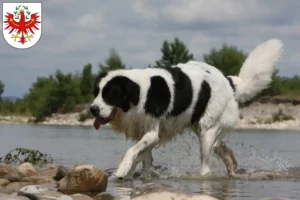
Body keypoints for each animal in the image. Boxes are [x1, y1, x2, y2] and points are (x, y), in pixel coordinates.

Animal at [89, 38, 284, 179]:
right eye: (96, 92)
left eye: (111, 95)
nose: (92, 109)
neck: (138, 94)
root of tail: (227, 80)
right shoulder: (142, 132)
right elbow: (143, 157)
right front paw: (138, 174)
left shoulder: (152, 132)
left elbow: (133, 151)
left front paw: (122, 170)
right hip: (205, 128)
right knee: (223, 149)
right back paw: (232, 169)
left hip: (207, 131)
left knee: (206, 164)